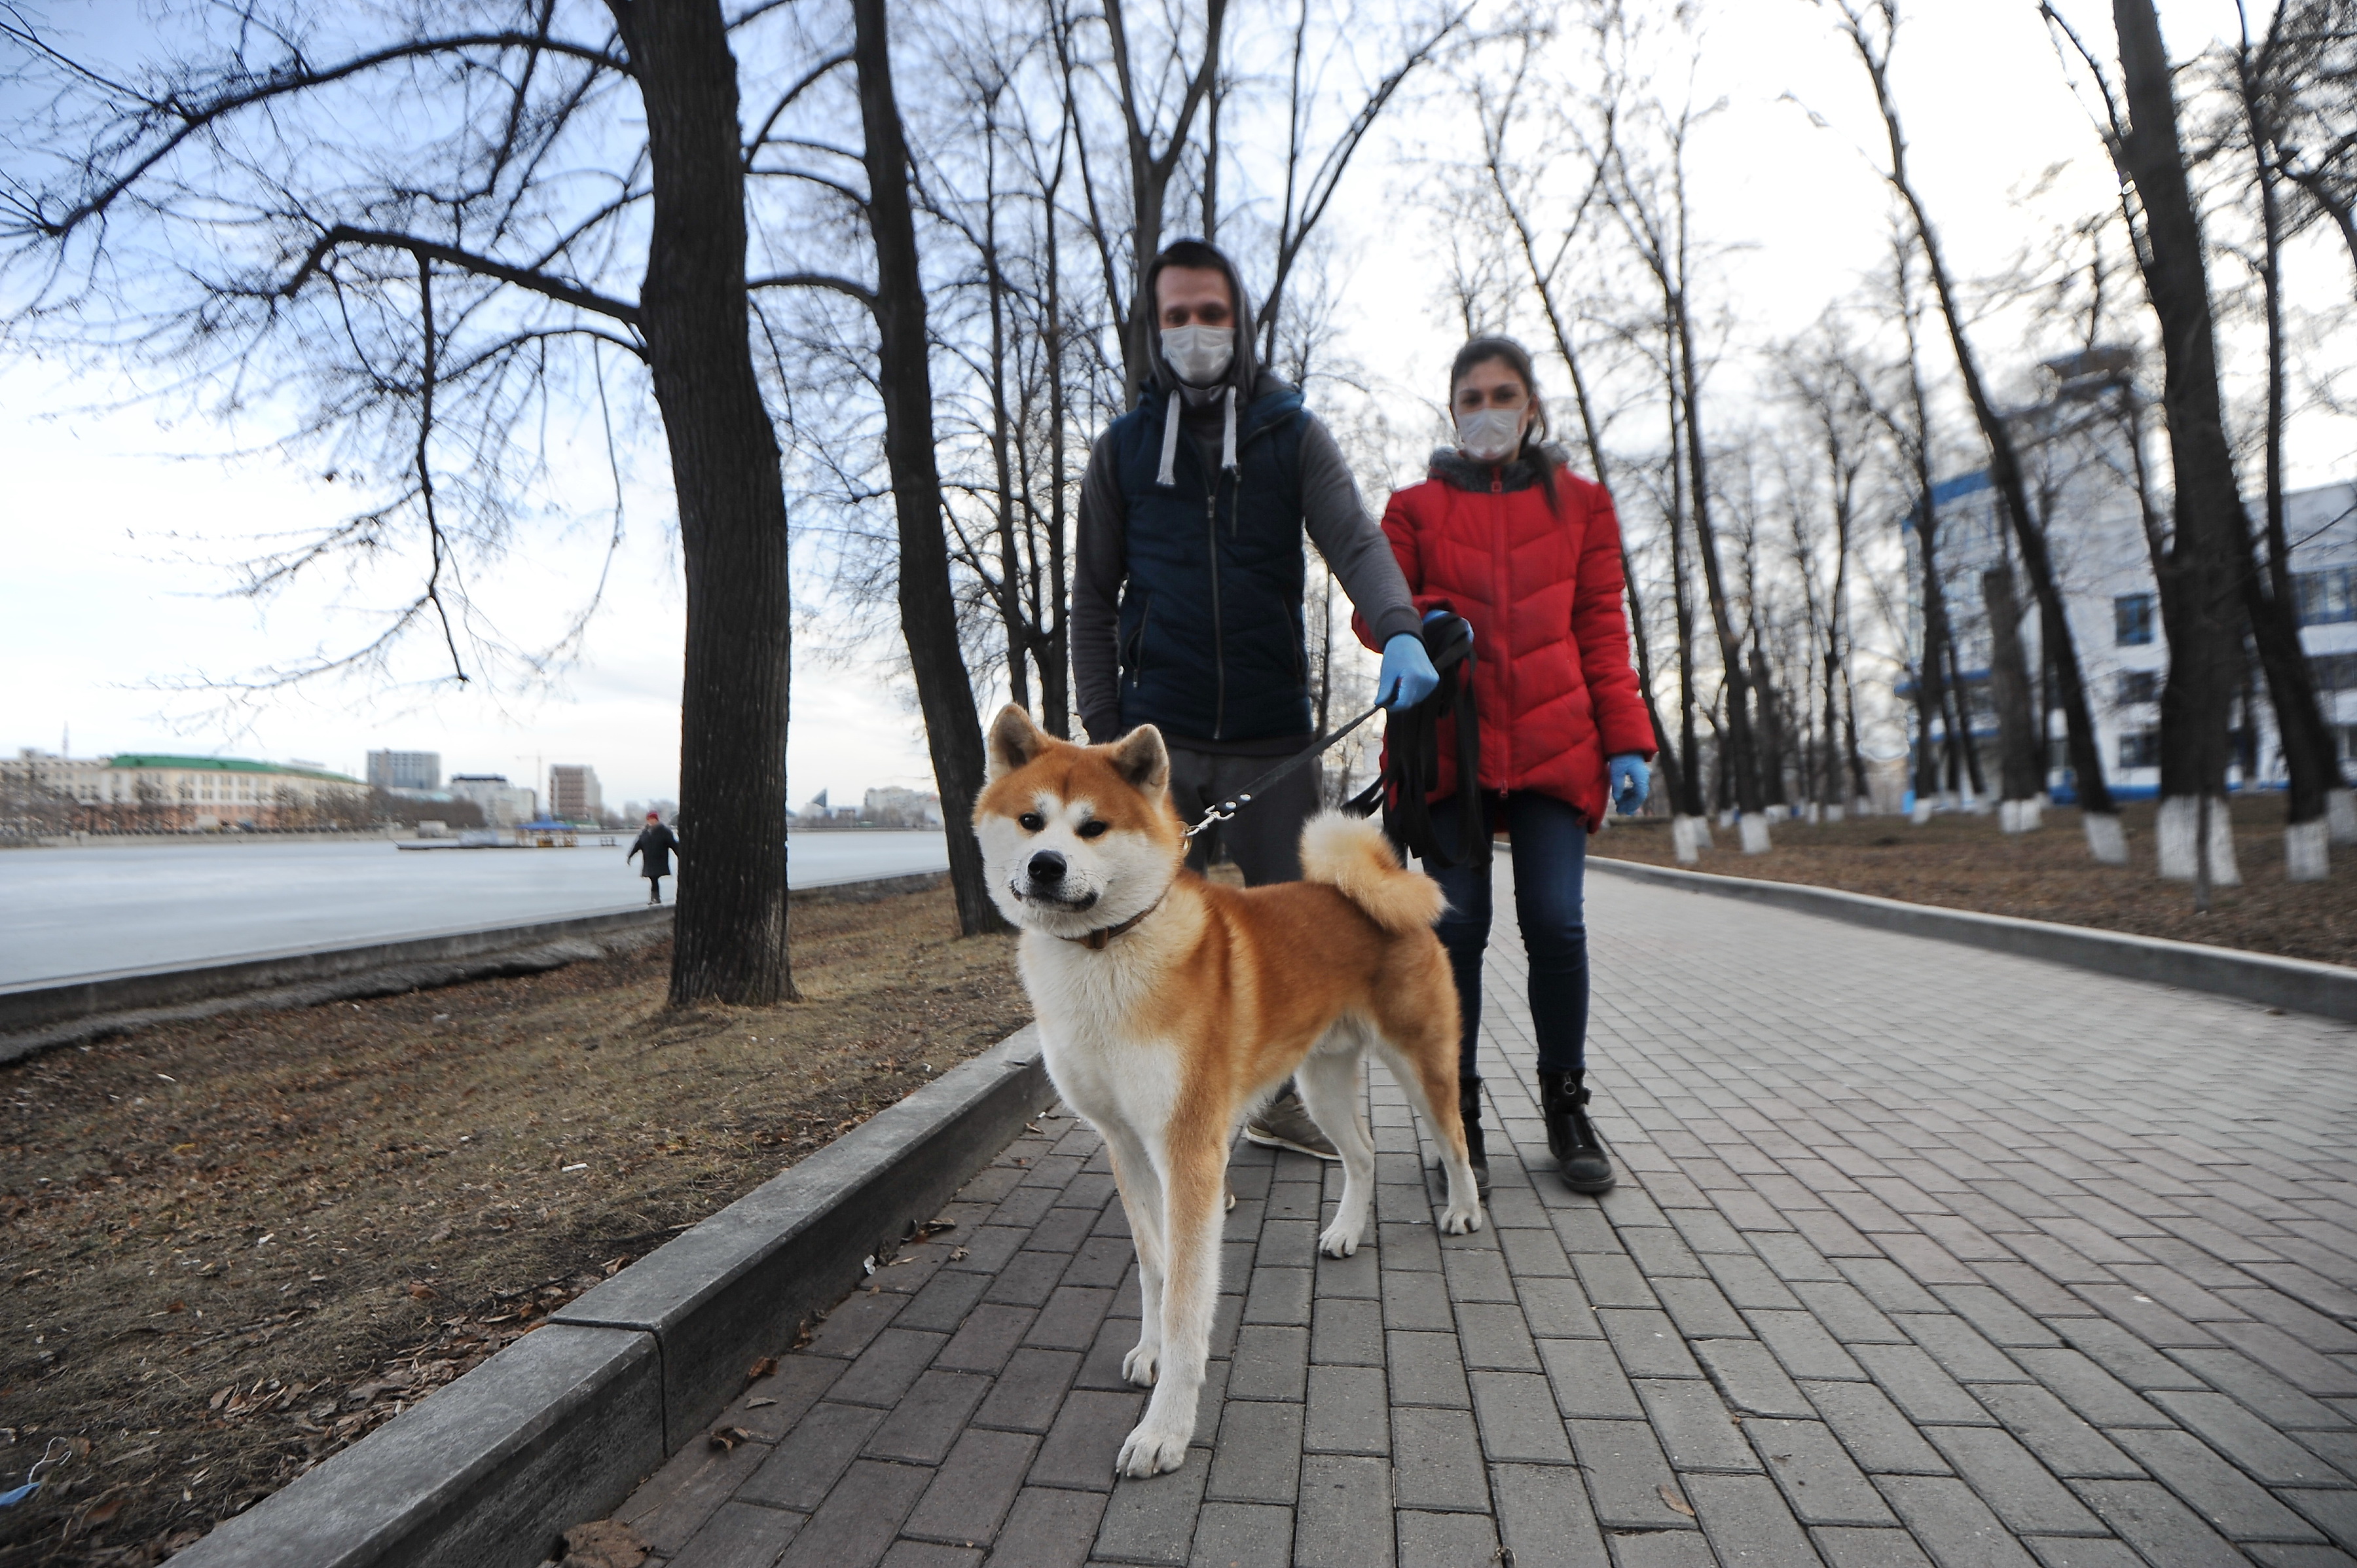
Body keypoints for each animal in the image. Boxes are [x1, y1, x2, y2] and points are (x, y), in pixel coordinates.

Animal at [971, 702, 1480, 1471]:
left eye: (1093, 827)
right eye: (1032, 821)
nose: (1045, 865)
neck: (1104, 955)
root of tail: (1373, 885)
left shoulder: (1188, 1150)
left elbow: (1187, 1297)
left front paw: (1166, 1428)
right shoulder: (1127, 1145)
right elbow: (1154, 1268)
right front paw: (1150, 1351)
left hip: (1421, 1062)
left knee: (1453, 1140)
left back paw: (1462, 1211)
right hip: (1321, 1080)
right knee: (1363, 1155)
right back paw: (1344, 1232)